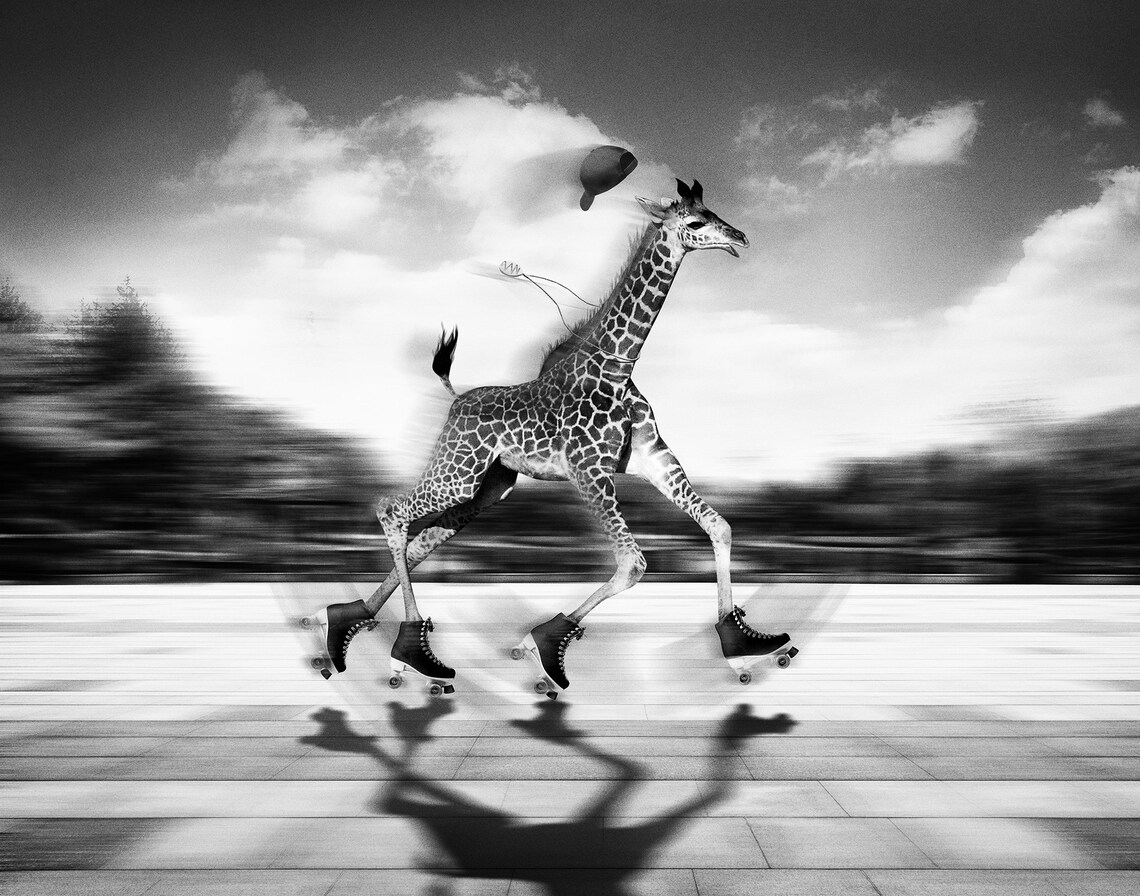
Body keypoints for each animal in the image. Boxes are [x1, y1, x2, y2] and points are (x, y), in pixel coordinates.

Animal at [308, 179, 792, 692]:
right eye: (696, 221)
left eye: (715, 213)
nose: (740, 236)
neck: (617, 365)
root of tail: (455, 400)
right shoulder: (588, 469)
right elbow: (633, 564)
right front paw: (541, 646)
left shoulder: (651, 457)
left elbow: (719, 526)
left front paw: (743, 649)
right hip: (459, 471)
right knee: (392, 510)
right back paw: (401, 650)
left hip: (489, 486)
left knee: (423, 538)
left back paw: (349, 622)